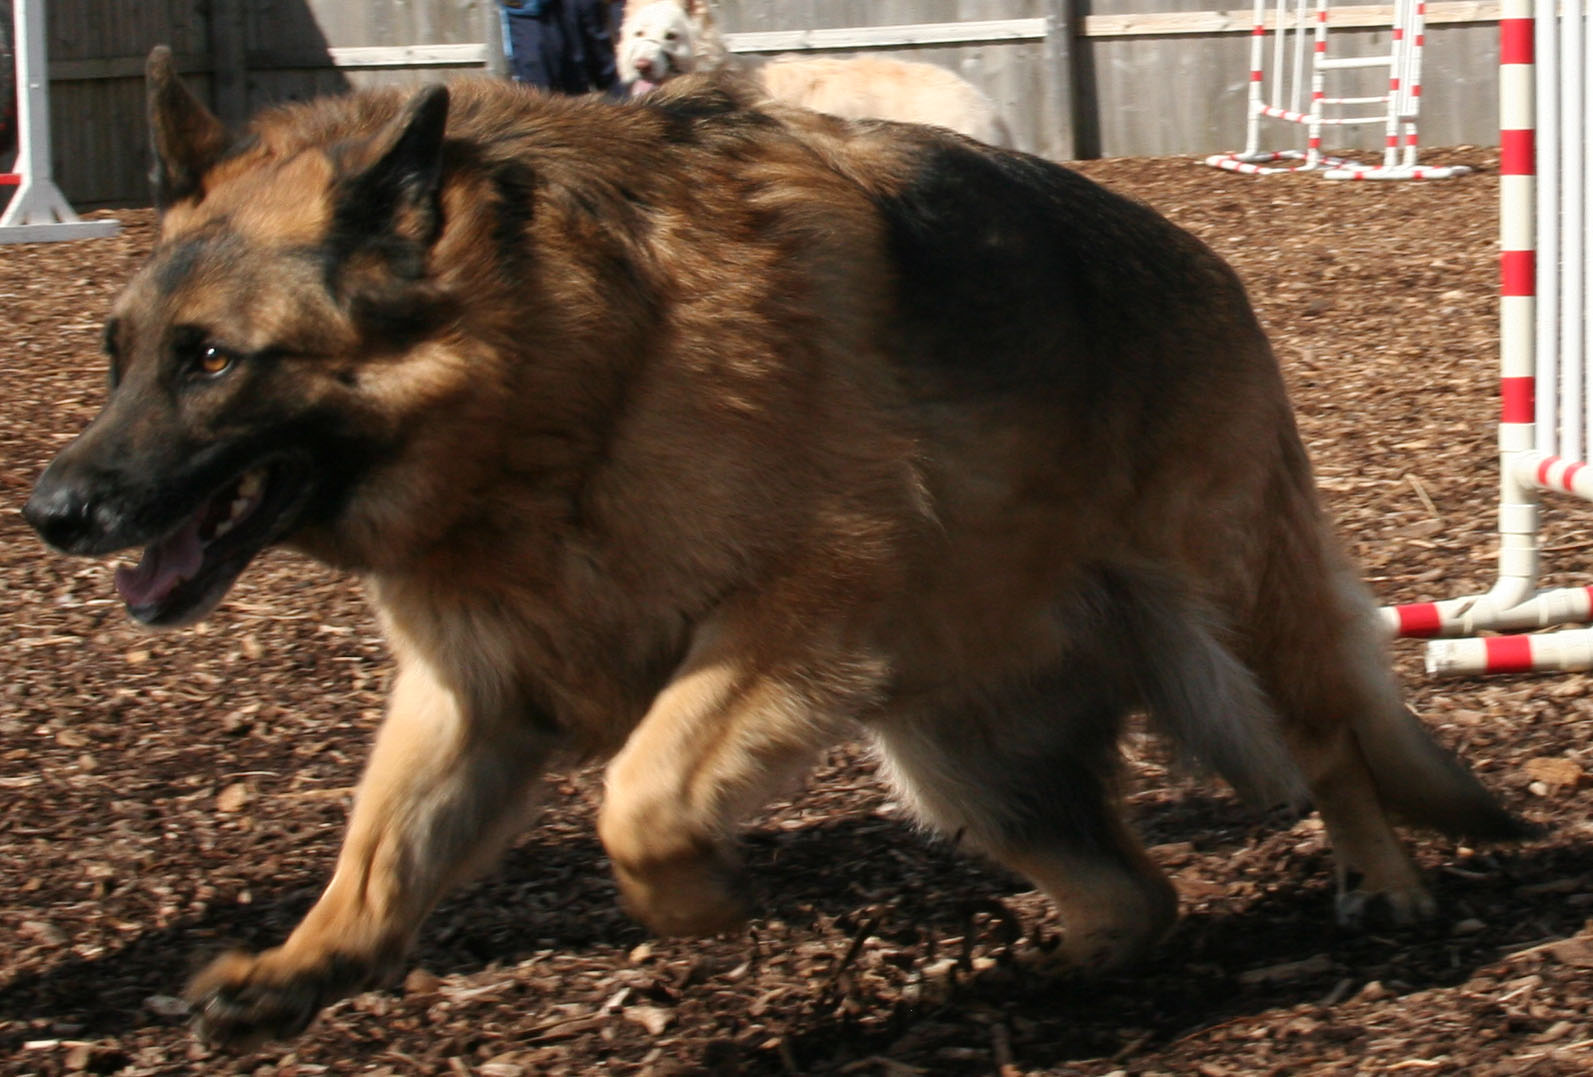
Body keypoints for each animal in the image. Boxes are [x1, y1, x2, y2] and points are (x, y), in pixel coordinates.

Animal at [21, 46, 1516, 1045]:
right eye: (115, 356)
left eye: (212, 361)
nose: (53, 509)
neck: (568, 375)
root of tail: (1205, 264)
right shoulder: (474, 694)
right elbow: (378, 856)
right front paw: (305, 966)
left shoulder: (786, 622)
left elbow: (636, 799)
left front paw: (698, 905)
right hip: (955, 758)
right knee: (1135, 892)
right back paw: (1046, 981)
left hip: (1231, 637)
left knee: (1329, 748)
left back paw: (1381, 881)